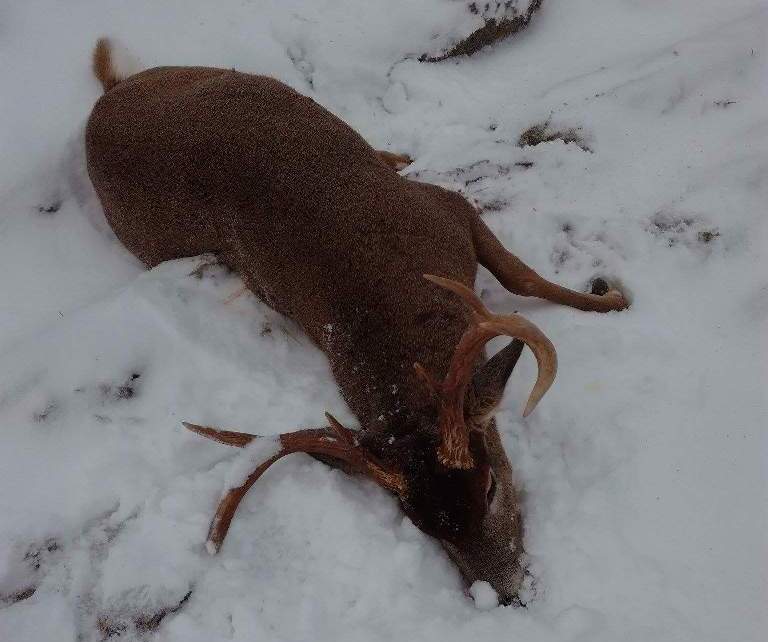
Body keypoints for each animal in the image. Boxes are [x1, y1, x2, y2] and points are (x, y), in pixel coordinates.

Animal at [85, 38, 627, 606]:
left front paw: (612, 299)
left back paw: (396, 155)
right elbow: (521, 280)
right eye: (423, 525)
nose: (503, 595)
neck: (400, 316)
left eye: (490, 488)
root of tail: (104, 103)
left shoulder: (446, 206)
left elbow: (525, 280)